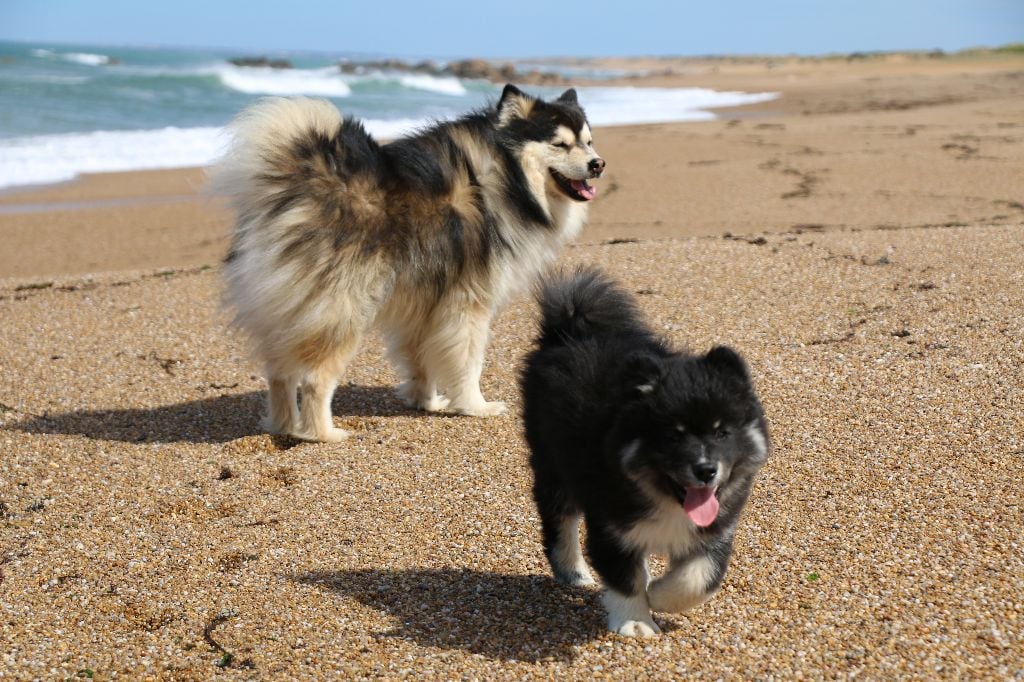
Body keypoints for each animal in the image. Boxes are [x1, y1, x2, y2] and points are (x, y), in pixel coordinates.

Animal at [210, 85, 604, 442]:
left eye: (589, 141)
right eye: (559, 144)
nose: (598, 164)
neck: (508, 177)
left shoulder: (426, 303)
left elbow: (420, 360)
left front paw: (426, 402)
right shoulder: (468, 303)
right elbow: (469, 362)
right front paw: (476, 406)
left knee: (279, 373)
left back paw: (284, 426)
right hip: (342, 308)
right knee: (313, 378)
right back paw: (323, 434)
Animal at [520, 268, 769, 637]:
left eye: (722, 432)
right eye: (672, 436)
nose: (706, 470)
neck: (664, 499)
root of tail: (571, 328)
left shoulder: (716, 529)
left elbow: (698, 578)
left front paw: (660, 595)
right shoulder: (611, 526)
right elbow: (626, 578)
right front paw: (635, 620)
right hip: (553, 468)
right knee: (559, 523)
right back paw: (574, 574)